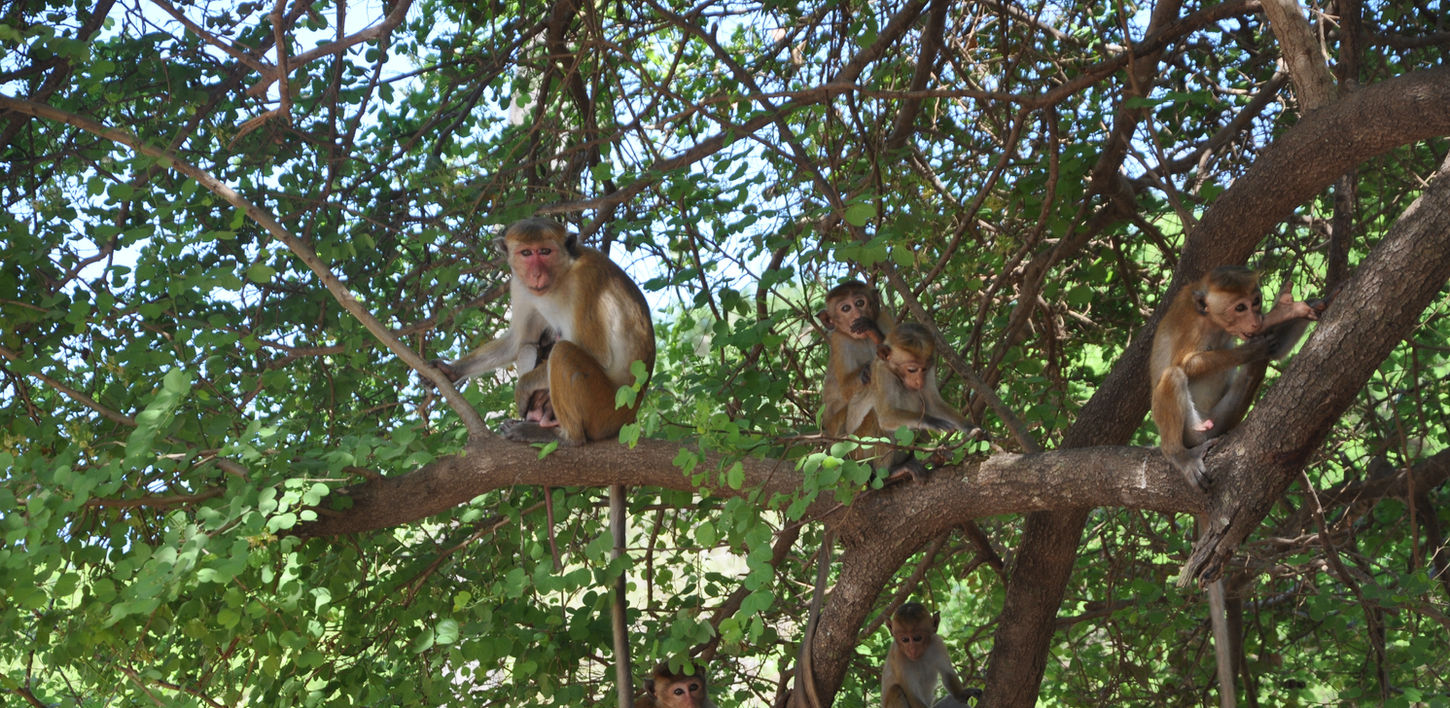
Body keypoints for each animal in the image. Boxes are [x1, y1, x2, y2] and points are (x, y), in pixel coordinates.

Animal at [432, 217, 656, 444]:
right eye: (526, 253)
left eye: (545, 251)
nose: (536, 274)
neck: (562, 276)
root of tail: (629, 416)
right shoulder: (520, 286)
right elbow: (518, 342)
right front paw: (451, 370)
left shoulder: (586, 279)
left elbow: (598, 354)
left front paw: (523, 387)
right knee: (528, 348)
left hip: (606, 411)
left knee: (563, 352)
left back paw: (565, 436)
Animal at [817, 280, 895, 437]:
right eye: (846, 308)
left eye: (860, 303)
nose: (857, 314)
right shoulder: (839, 340)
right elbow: (846, 390)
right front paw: (865, 371)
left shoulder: (883, 318)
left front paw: (872, 330)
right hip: (839, 427)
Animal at [843, 323, 980, 481]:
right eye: (912, 370)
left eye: (924, 369)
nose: (919, 381)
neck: (896, 373)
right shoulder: (883, 372)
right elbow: (885, 417)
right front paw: (932, 421)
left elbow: (934, 404)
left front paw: (971, 428)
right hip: (859, 451)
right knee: (875, 417)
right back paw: (890, 471)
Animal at [1148, 265, 1320, 491]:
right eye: (1240, 308)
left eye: (1255, 301)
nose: (1256, 321)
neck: (1212, 321)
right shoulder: (1192, 326)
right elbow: (1183, 363)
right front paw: (1252, 348)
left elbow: (1276, 351)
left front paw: (1299, 307)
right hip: (1191, 431)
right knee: (1173, 375)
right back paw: (1179, 455)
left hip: (1219, 420)